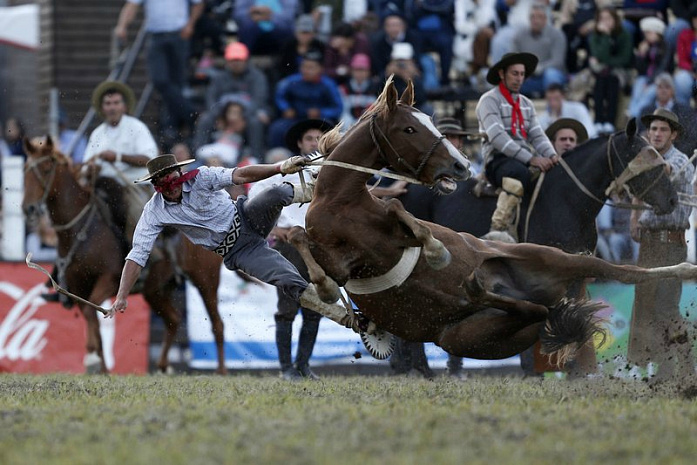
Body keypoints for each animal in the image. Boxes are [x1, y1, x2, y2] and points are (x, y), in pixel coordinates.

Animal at [22, 137, 226, 374]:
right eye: (25, 169)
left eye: (47, 168)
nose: (29, 208)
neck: (82, 230)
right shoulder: (77, 285)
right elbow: (90, 315)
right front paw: (98, 364)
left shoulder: (109, 279)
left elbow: (92, 311)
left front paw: (95, 362)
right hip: (156, 290)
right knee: (173, 319)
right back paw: (163, 366)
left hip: (205, 280)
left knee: (217, 324)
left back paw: (220, 371)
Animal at [288, 77, 696, 362]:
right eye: (409, 128)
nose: (460, 165)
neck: (340, 200)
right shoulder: (341, 261)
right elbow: (298, 238)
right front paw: (324, 288)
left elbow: (401, 215)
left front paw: (436, 250)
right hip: (464, 337)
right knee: (534, 309)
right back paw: (478, 288)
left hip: (558, 259)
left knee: (626, 274)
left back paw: (685, 271)